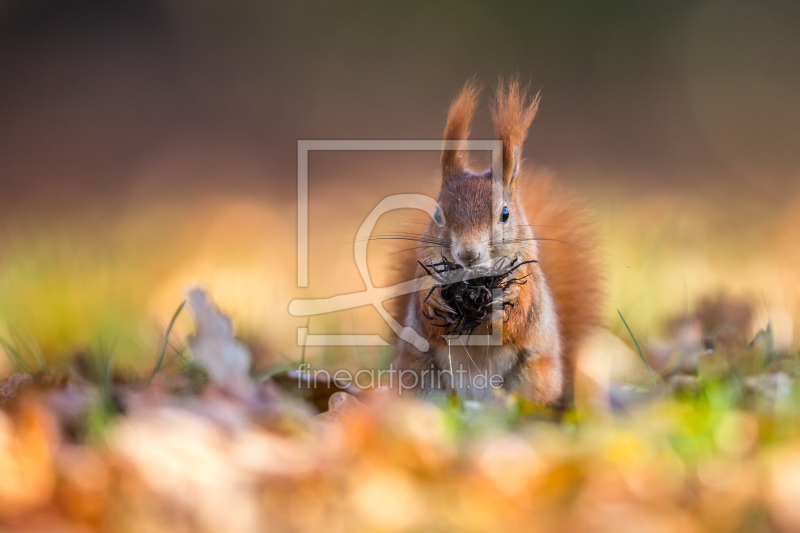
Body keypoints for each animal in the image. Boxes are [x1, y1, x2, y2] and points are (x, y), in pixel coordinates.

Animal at [390, 79, 604, 404]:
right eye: (437, 215)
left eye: (504, 213)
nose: (468, 254)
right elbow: (424, 313)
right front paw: (438, 302)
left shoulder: (530, 284)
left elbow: (521, 317)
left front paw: (505, 301)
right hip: (417, 377)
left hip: (532, 379)